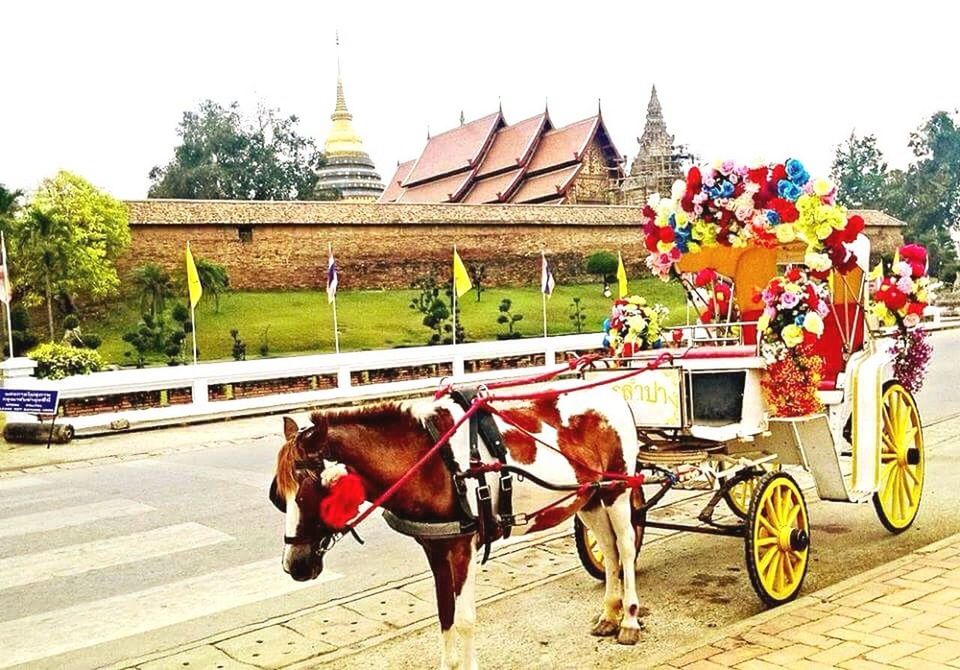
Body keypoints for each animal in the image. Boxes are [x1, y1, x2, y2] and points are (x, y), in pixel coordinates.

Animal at [270, 386, 640, 668]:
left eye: (317, 492)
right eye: (277, 497)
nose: (294, 565)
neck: (433, 460)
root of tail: (613, 396)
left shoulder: (463, 545)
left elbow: (464, 618)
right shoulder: (435, 547)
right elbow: (444, 612)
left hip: (617, 489)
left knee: (624, 547)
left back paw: (630, 619)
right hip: (588, 498)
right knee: (608, 551)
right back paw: (610, 614)